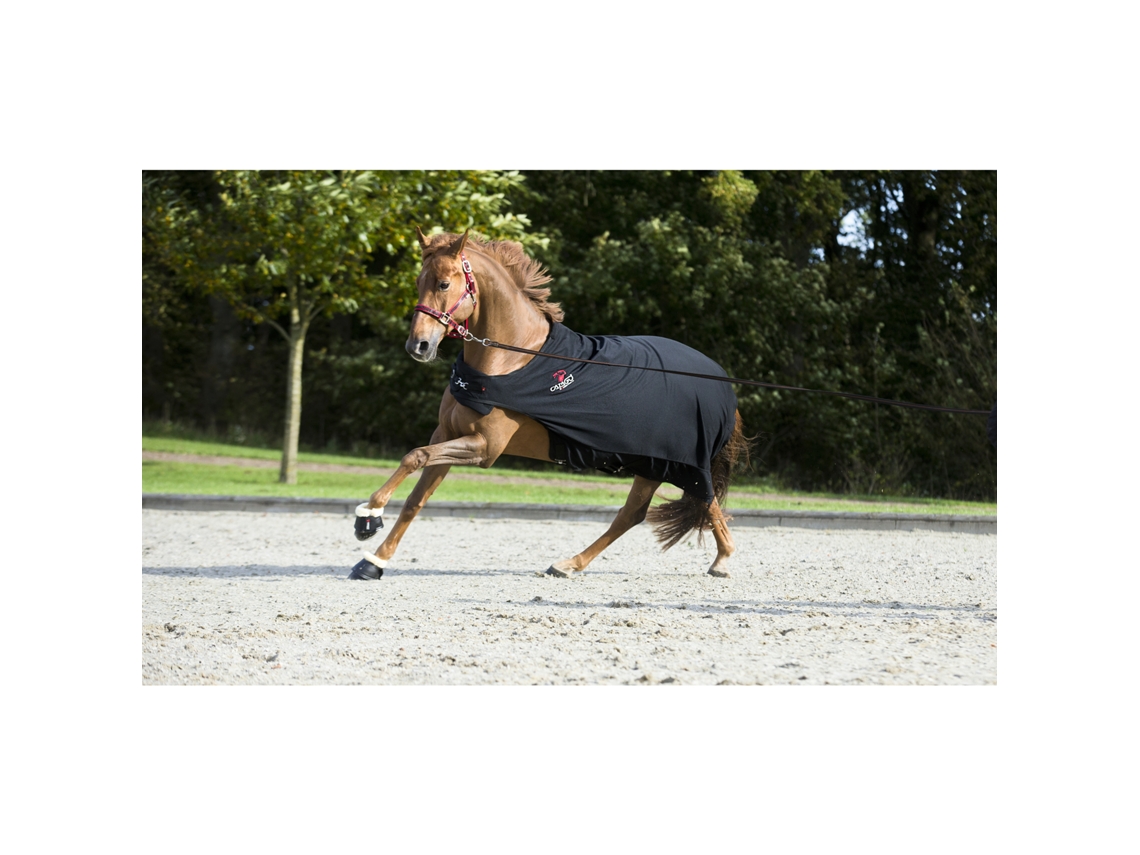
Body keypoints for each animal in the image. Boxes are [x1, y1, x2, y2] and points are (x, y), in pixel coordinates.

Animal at [348, 228, 749, 581]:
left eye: (444, 284)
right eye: (419, 282)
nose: (418, 346)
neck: (510, 360)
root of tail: (720, 382)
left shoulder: (483, 448)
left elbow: (413, 456)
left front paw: (369, 514)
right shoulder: (447, 434)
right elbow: (417, 497)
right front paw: (373, 561)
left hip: (668, 462)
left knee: (682, 502)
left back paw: (718, 561)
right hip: (654, 463)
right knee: (651, 510)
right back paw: (576, 564)